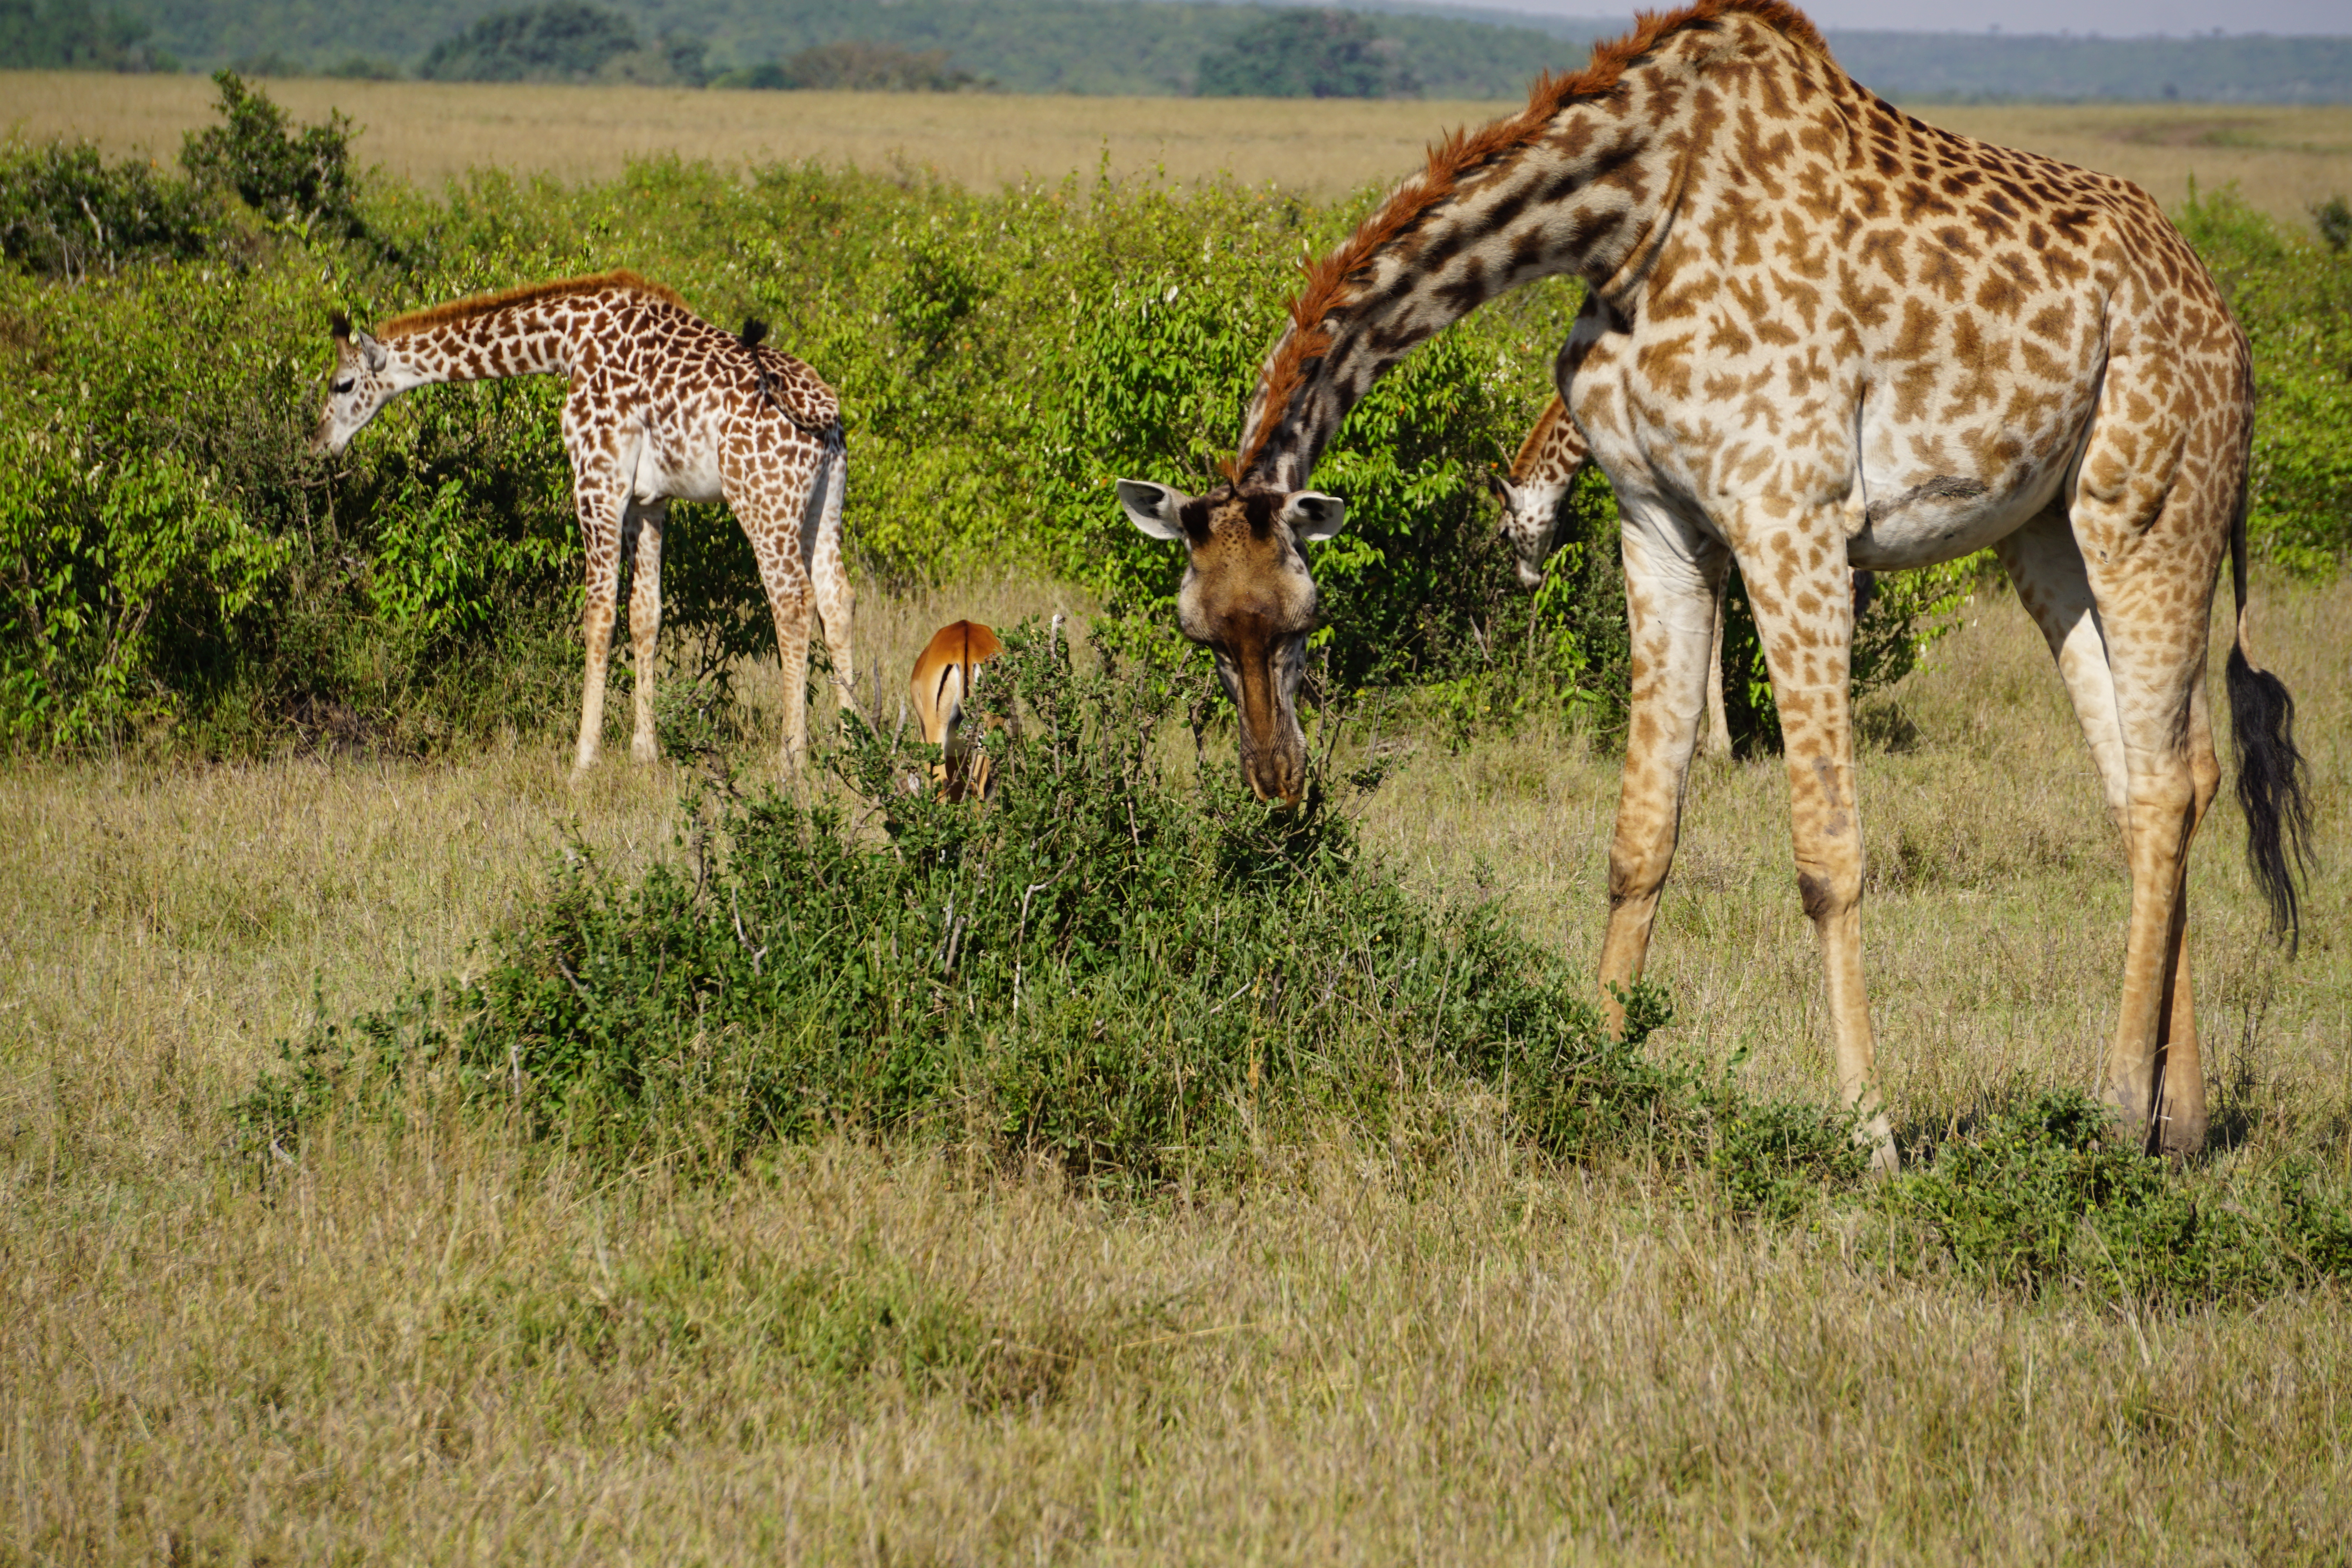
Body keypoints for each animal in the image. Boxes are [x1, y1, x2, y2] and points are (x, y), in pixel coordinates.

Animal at [313, 278, 861, 780]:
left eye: (343, 384)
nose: (319, 443)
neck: (567, 341)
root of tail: (826, 414)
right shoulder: (649, 500)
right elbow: (645, 614)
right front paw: (644, 752)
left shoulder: (598, 480)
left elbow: (598, 615)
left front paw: (583, 760)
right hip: (823, 504)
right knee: (837, 599)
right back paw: (853, 751)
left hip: (762, 500)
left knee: (793, 603)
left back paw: (792, 759)